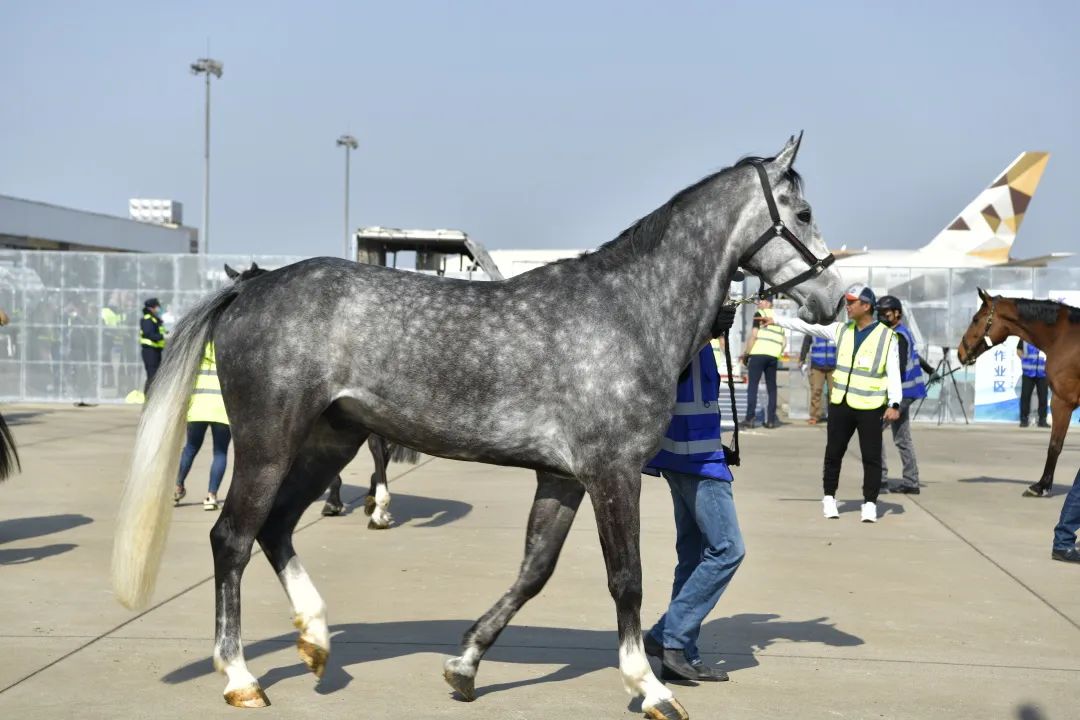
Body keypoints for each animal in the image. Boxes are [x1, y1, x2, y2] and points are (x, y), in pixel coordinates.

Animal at [959, 287, 1075, 496]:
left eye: (975, 319)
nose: (960, 352)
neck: (1064, 337)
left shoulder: (1062, 401)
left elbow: (1055, 445)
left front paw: (1041, 486)